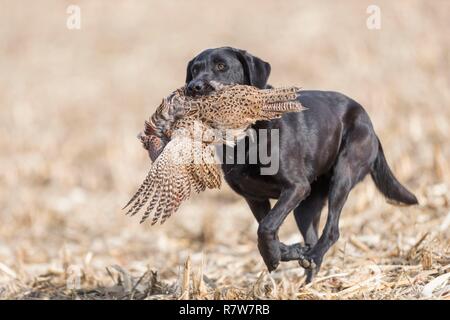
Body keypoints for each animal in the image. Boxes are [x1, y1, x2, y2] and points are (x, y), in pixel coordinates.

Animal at [180, 46, 418, 282]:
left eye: (222, 66)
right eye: (194, 70)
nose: (194, 87)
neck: (247, 137)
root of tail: (371, 127)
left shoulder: (296, 187)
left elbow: (265, 227)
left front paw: (273, 258)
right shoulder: (255, 198)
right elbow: (269, 230)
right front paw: (287, 252)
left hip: (343, 174)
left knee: (332, 230)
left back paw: (313, 257)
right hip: (306, 206)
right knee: (312, 237)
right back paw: (308, 276)